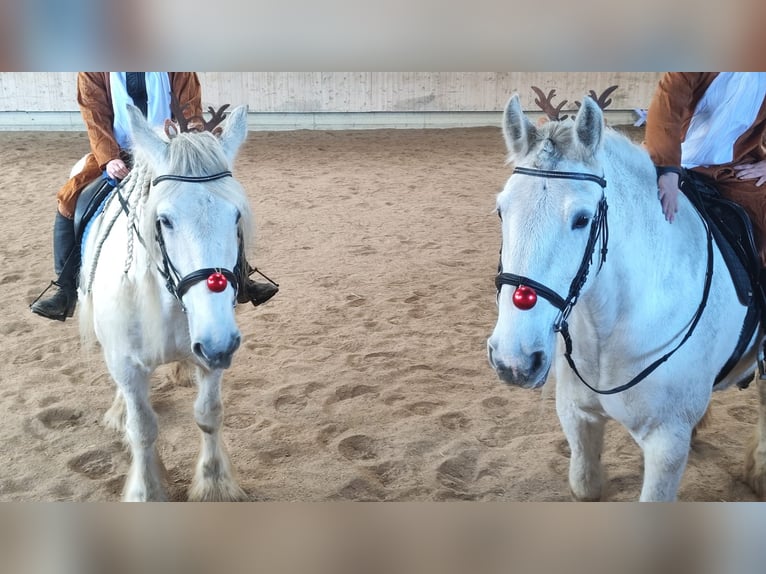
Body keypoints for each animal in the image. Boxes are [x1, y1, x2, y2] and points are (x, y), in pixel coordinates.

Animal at [78, 104, 252, 501]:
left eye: (236, 215)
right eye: (164, 219)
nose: (219, 343)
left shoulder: (213, 354)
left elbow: (209, 414)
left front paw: (214, 485)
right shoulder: (126, 362)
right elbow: (142, 429)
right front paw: (147, 491)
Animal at [487, 94, 766, 501]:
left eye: (582, 219)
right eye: (501, 210)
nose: (514, 360)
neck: (609, 327)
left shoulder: (667, 444)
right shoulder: (576, 416)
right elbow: (585, 485)